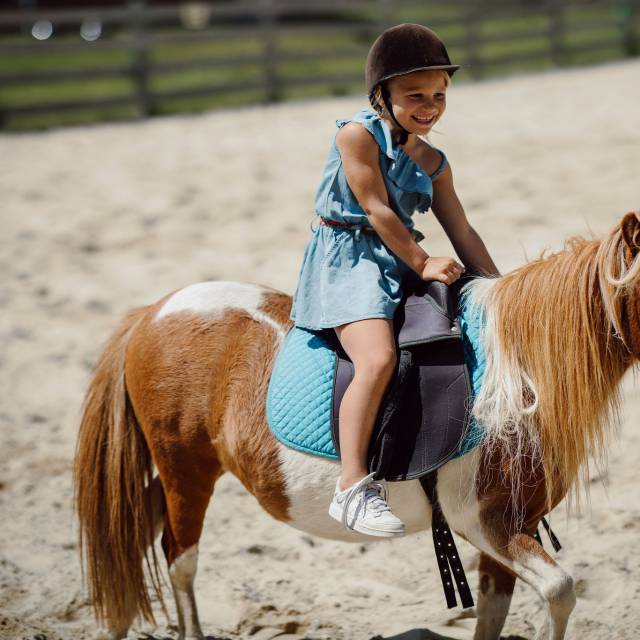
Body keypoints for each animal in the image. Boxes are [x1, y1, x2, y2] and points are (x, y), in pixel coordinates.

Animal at [74, 212, 640, 636]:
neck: (516, 376)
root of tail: (153, 311)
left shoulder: (511, 528)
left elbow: (496, 614)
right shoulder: (484, 522)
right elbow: (560, 591)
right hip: (186, 472)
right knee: (179, 558)